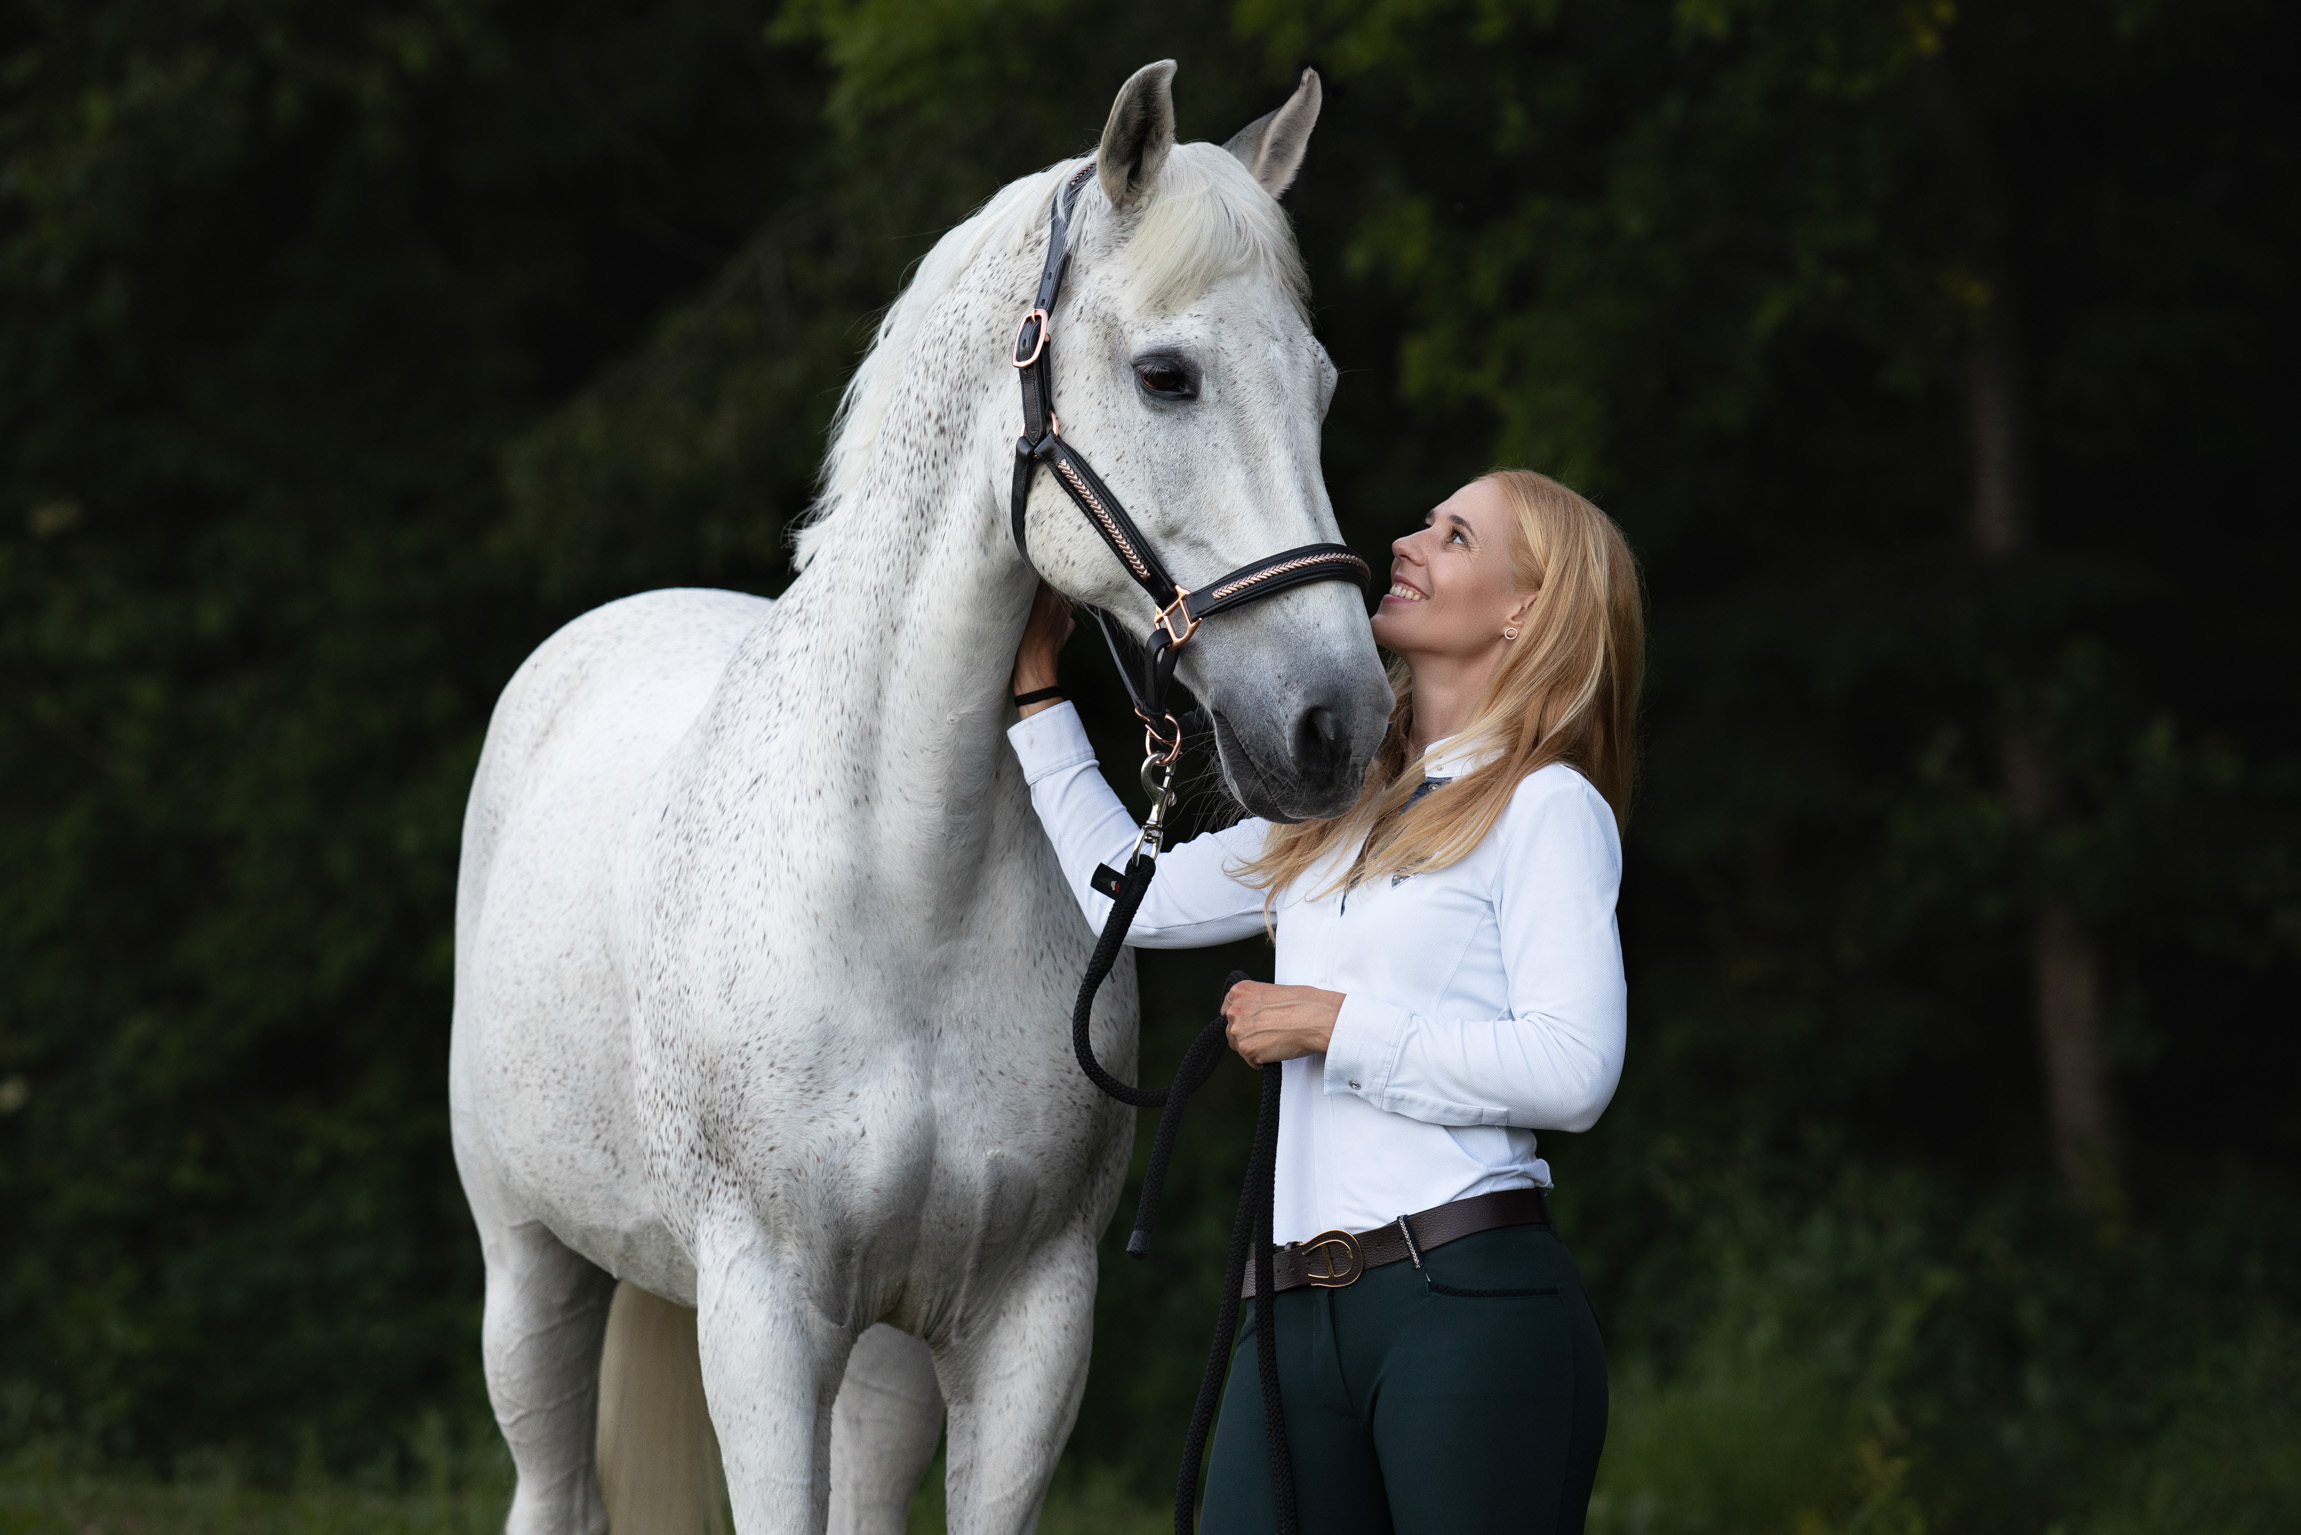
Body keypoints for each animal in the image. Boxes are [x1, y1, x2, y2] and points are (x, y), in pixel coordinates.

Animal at [448, 60, 1391, 1535]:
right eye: (1166, 375)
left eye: (1322, 383)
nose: (1335, 723)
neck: (904, 880)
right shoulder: (764, 1320)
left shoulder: (1027, 1322)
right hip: (533, 1270)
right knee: (551, 1483)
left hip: (884, 1357)